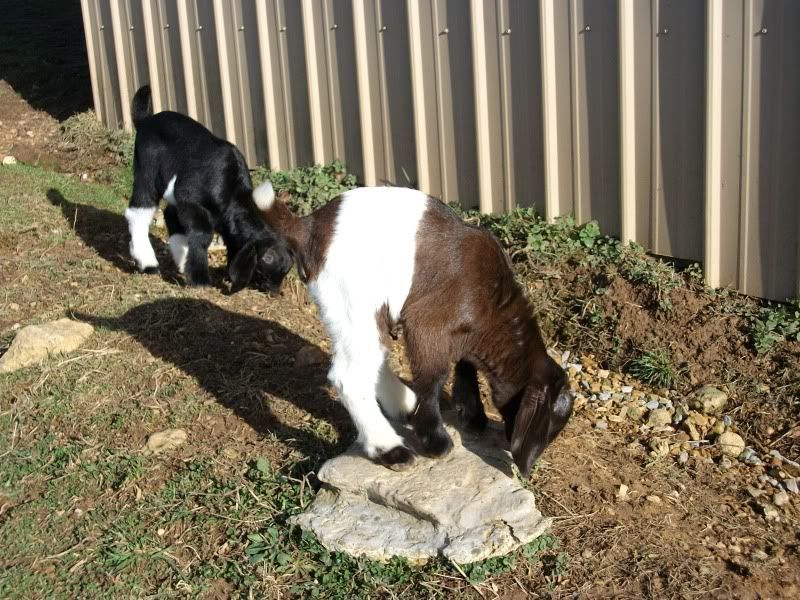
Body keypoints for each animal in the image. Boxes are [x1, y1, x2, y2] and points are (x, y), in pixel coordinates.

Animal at [125, 85, 292, 292]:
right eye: (264, 265)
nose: (274, 292)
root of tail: (145, 121)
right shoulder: (190, 199)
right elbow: (203, 234)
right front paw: (200, 279)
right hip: (147, 172)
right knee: (139, 210)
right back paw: (147, 262)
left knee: (170, 214)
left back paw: (180, 262)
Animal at [255, 182, 572, 476]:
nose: (529, 462)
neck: (494, 302)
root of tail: (308, 227)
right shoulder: (427, 325)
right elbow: (434, 376)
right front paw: (436, 442)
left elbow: (464, 363)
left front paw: (472, 416)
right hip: (354, 301)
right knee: (350, 376)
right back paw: (390, 448)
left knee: (373, 358)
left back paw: (404, 405)